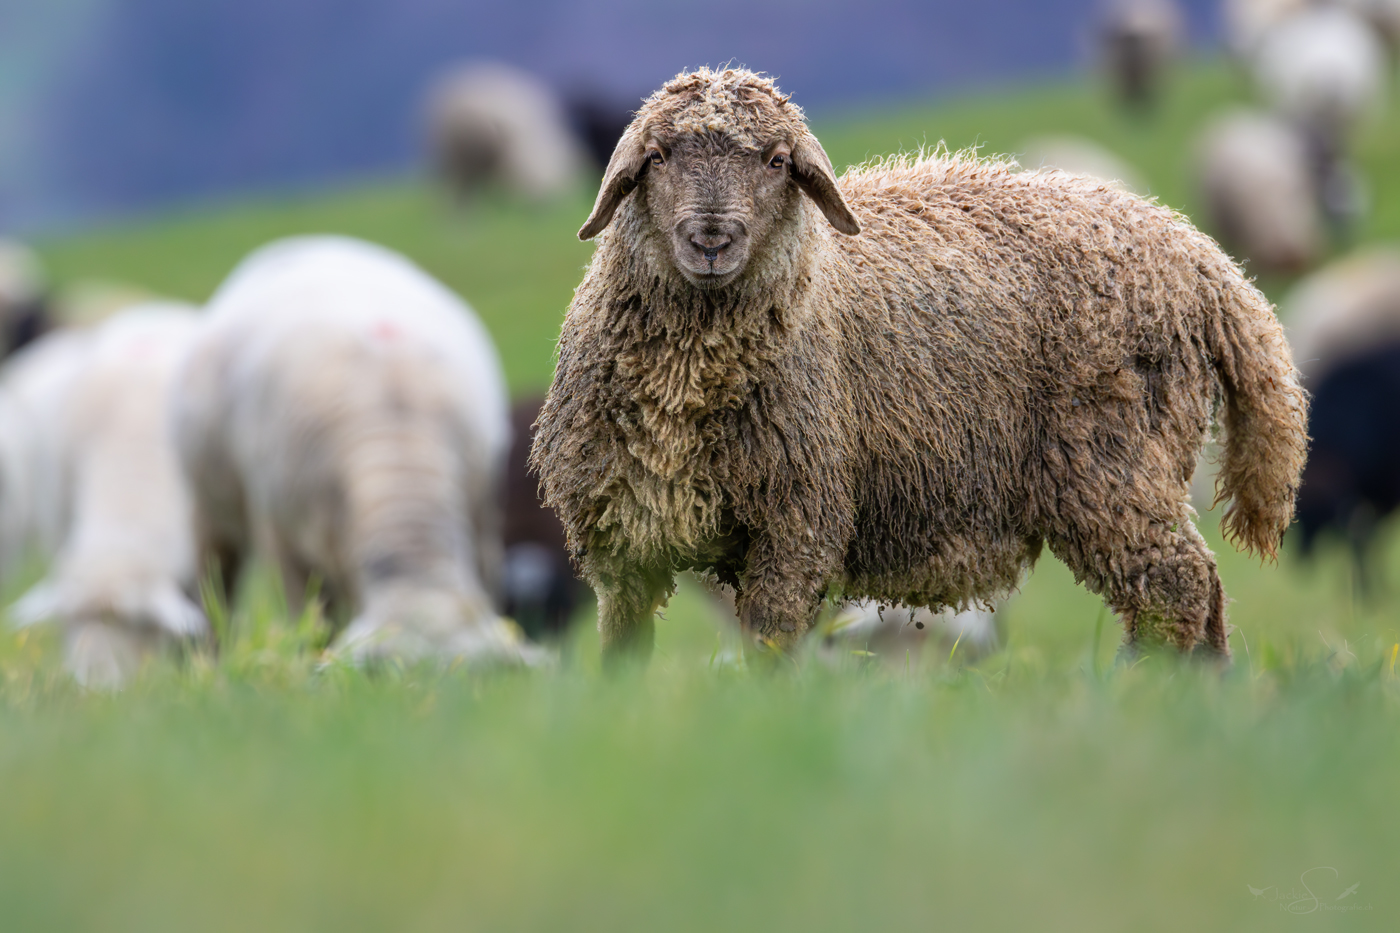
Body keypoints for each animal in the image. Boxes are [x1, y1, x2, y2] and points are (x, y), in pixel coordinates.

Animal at [177, 236, 537, 664]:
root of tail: (313, 241)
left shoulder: (483, 523)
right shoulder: (283, 539)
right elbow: (312, 615)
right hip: (208, 507)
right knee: (213, 584)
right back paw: (208, 656)